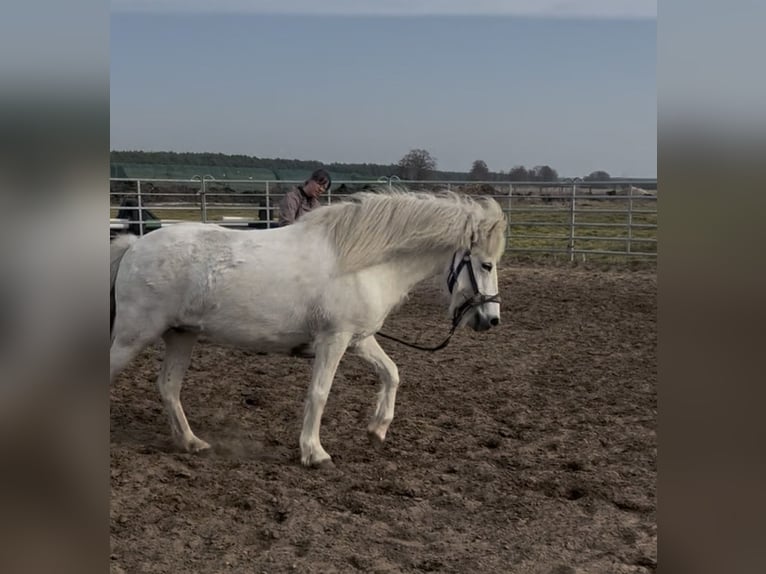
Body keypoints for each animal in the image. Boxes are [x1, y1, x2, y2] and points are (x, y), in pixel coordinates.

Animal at [110, 190, 506, 467]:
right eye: (486, 264)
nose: (491, 320)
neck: (362, 264)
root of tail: (134, 246)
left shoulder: (358, 339)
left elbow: (391, 373)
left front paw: (377, 429)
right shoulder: (334, 340)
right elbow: (319, 394)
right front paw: (314, 453)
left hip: (181, 335)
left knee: (168, 387)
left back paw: (192, 443)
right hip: (133, 336)